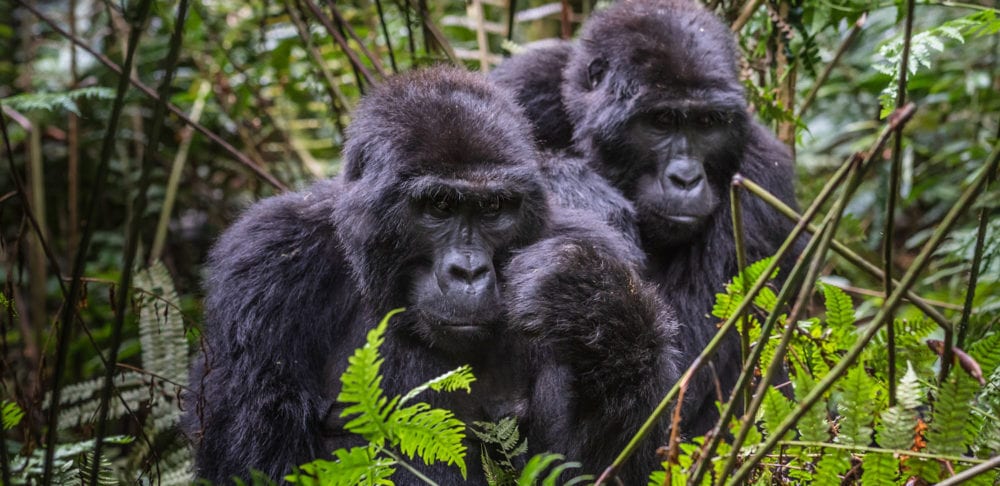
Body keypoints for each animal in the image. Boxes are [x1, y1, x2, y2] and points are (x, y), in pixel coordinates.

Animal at [185, 65, 684, 486]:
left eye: (493, 208)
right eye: (439, 205)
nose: (468, 271)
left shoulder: (597, 242)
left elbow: (594, 465)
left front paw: (591, 305)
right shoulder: (265, 264)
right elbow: (256, 463)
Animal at [488, 0, 800, 436]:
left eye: (707, 123)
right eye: (662, 121)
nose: (686, 178)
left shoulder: (763, 183)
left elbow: (680, 386)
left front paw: (582, 292)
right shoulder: (522, 82)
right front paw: (574, 184)